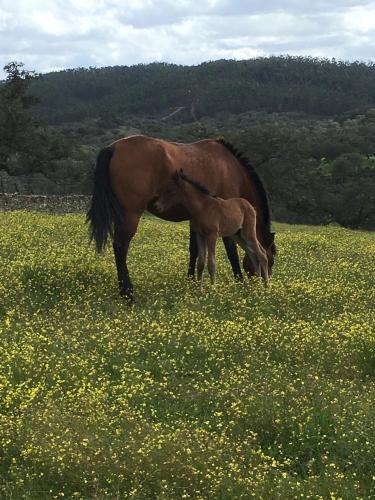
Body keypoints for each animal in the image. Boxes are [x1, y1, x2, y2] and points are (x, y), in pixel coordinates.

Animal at [87, 134, 276, 300]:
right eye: (272, 260)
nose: (262, 281)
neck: (231, 168)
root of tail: (112, 148)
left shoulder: (197, 222)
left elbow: (194, 252)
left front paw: (191, 282)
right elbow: (231, 252)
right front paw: (239, 281)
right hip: (130, 215)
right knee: (120, 247)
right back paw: (127, 293)